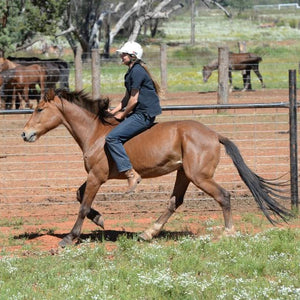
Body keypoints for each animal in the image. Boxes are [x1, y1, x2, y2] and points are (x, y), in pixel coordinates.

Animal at [21, 89, 292, 248]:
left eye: (39, 109)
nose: (24, 134)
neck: (96, 133)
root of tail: (215, 135)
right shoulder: (95, 176)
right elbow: (79, 195)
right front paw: (99, 220)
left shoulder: (97, 176)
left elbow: (83, 205)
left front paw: (70, 237)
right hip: (184, 175)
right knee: (174, 202)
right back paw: (148, 233)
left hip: (199, 176)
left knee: (224, 196)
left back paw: (228, 233)